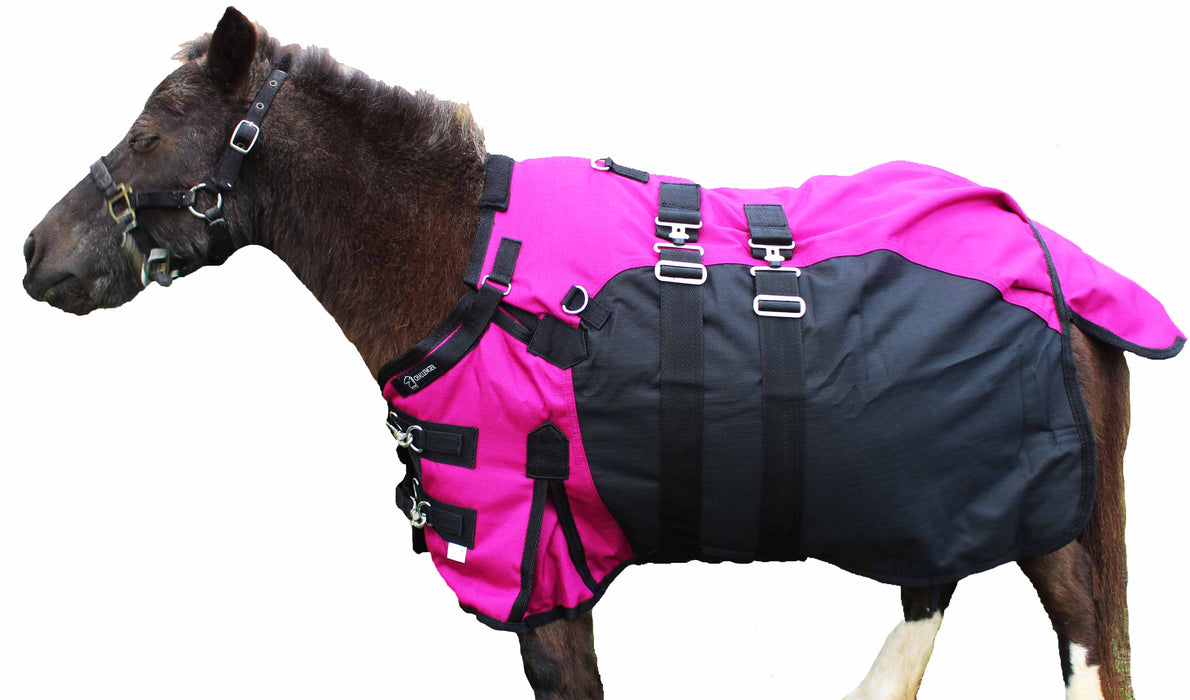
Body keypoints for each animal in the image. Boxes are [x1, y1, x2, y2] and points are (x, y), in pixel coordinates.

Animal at [19, 7, 1184, 699]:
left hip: (1042, 519)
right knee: (928, 601)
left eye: (155, 130)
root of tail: (1060, 264)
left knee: (1082, 636)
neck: (462, 260)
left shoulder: (542, 577)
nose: (35, 252)